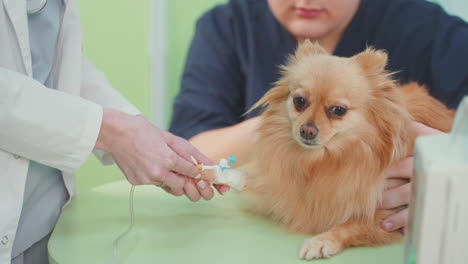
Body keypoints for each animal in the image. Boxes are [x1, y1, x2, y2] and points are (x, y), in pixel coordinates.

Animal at [243, 41, 456, 260]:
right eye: (299, 101)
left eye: (338, 110)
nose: (307, 130)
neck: (321, 161)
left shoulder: (389, 216)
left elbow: (353, 223)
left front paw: (322, 240)